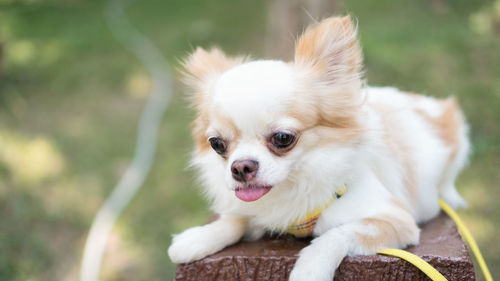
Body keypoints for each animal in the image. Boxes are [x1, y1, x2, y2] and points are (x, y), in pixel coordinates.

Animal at [167, 15, 468, 280]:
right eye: (217, 144)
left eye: (283, 138)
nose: (240, 167)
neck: (296, 184)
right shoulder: (263, 211)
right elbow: (237, 217)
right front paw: (197, 238)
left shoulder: (395, 220)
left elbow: (336, 234)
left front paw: (310, 270)